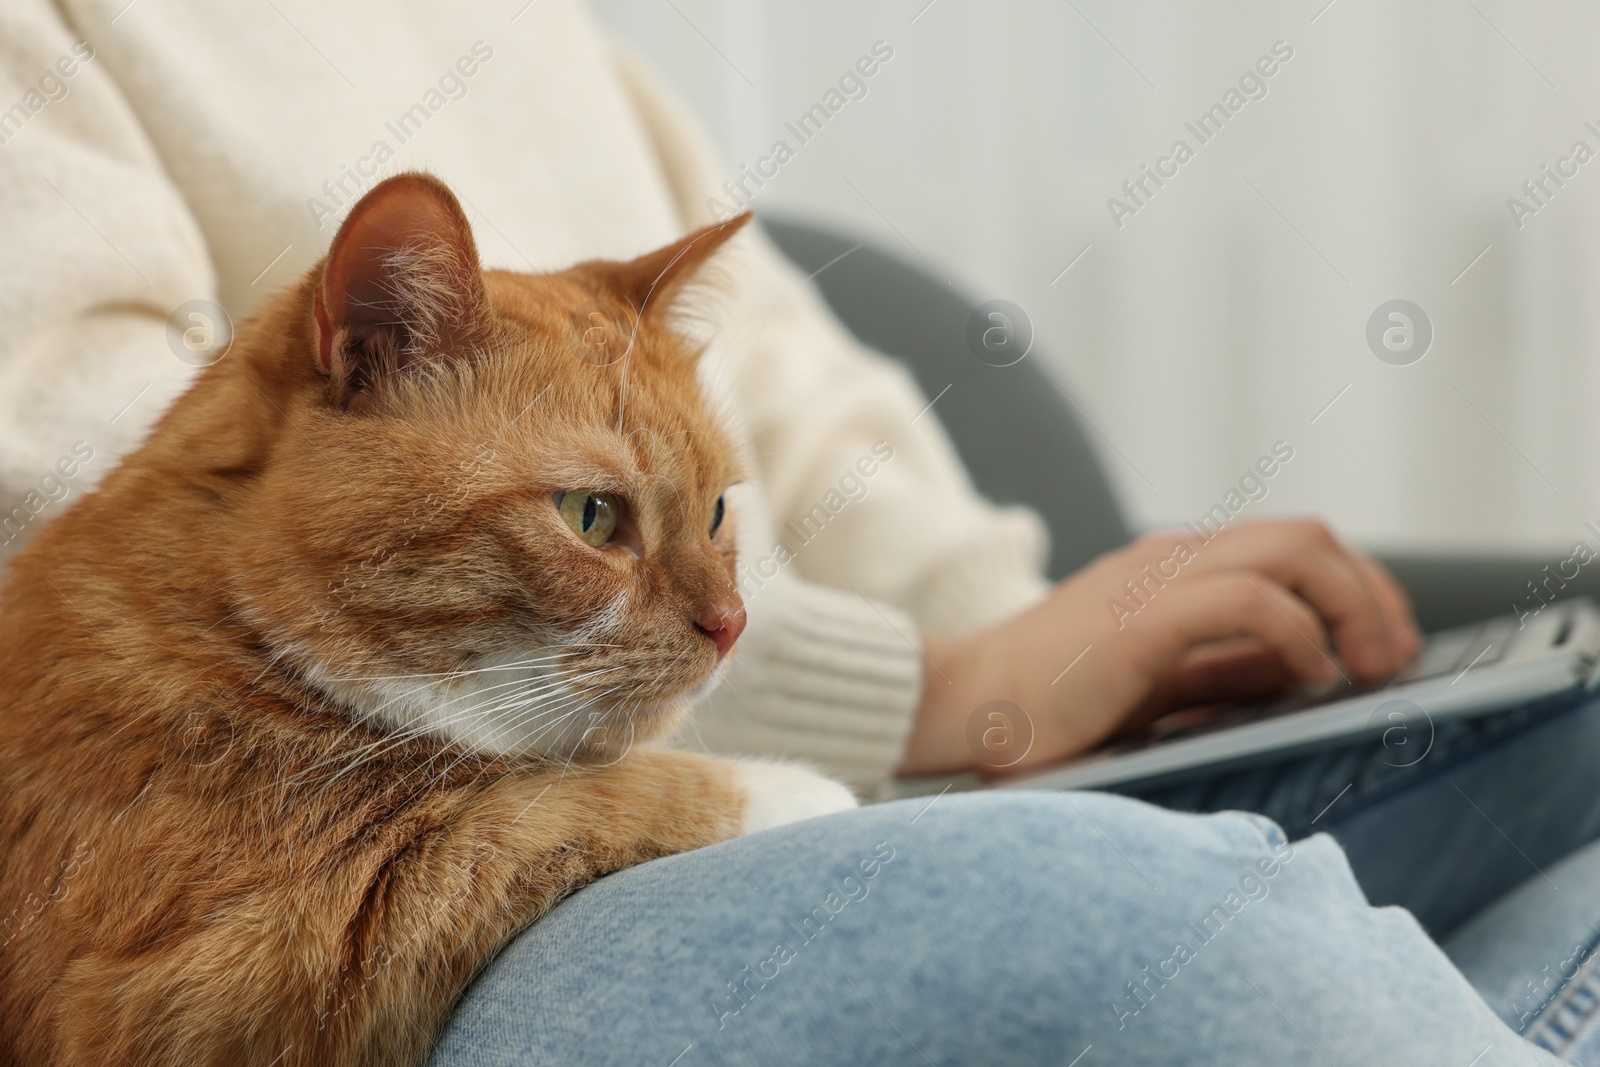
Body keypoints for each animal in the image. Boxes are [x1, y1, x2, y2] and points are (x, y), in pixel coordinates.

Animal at [0, 171, 864, 1062]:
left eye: (718, 510)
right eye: (590, 515)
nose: (732, 624)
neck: (228, 635)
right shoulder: (243, 964)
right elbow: (577, 798)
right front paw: (800, 787)